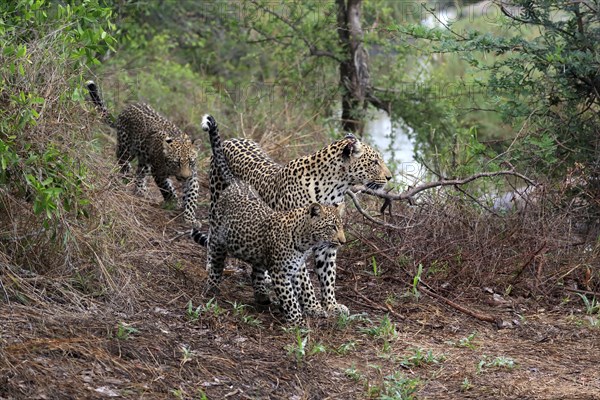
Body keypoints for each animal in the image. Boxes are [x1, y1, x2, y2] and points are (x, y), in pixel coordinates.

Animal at [86, 81, 199, 225]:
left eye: (190, 162)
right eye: (176, 163)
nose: (184, 177)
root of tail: (126, 109)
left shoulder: (192, 176)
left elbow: (191, 197)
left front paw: (190, 218)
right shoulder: (158, 172)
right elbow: (167, 189)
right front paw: (175, 202)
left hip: (145, 159)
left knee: (140, 172)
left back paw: (141, 191)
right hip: (127, 147)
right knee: (121, 159)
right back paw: (126, 174)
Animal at [199, 114, 344, 324]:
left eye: (341, 227)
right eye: (332, 227)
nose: (343, 241)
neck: (305, 241)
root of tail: (236, 182)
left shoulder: (293, 271)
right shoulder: (281, 274)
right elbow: (292, 299)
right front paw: (299, 321)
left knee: (255, 272)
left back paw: (261, 297)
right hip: (217, 233)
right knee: (215, 257)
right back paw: (212, 286)